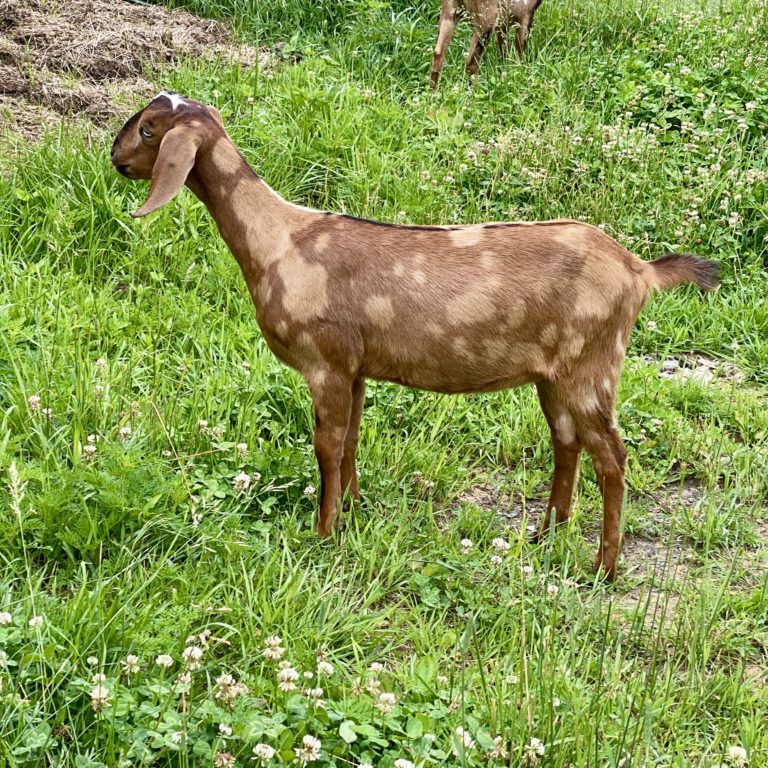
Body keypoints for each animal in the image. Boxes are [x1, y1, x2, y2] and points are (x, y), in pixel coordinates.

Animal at [111, 93, 720, 580]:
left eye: (148, 131)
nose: (114, 159)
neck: (280, 241)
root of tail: (637, 270)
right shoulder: (354, 367)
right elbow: (351, 439)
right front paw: (354, 511)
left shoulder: (324, 362)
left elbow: (326, 445)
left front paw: (323, 533)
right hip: (557, 373)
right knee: (565, 440)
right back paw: (546, 533)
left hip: (591, 365)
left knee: (611, 458)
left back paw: (603, 568)